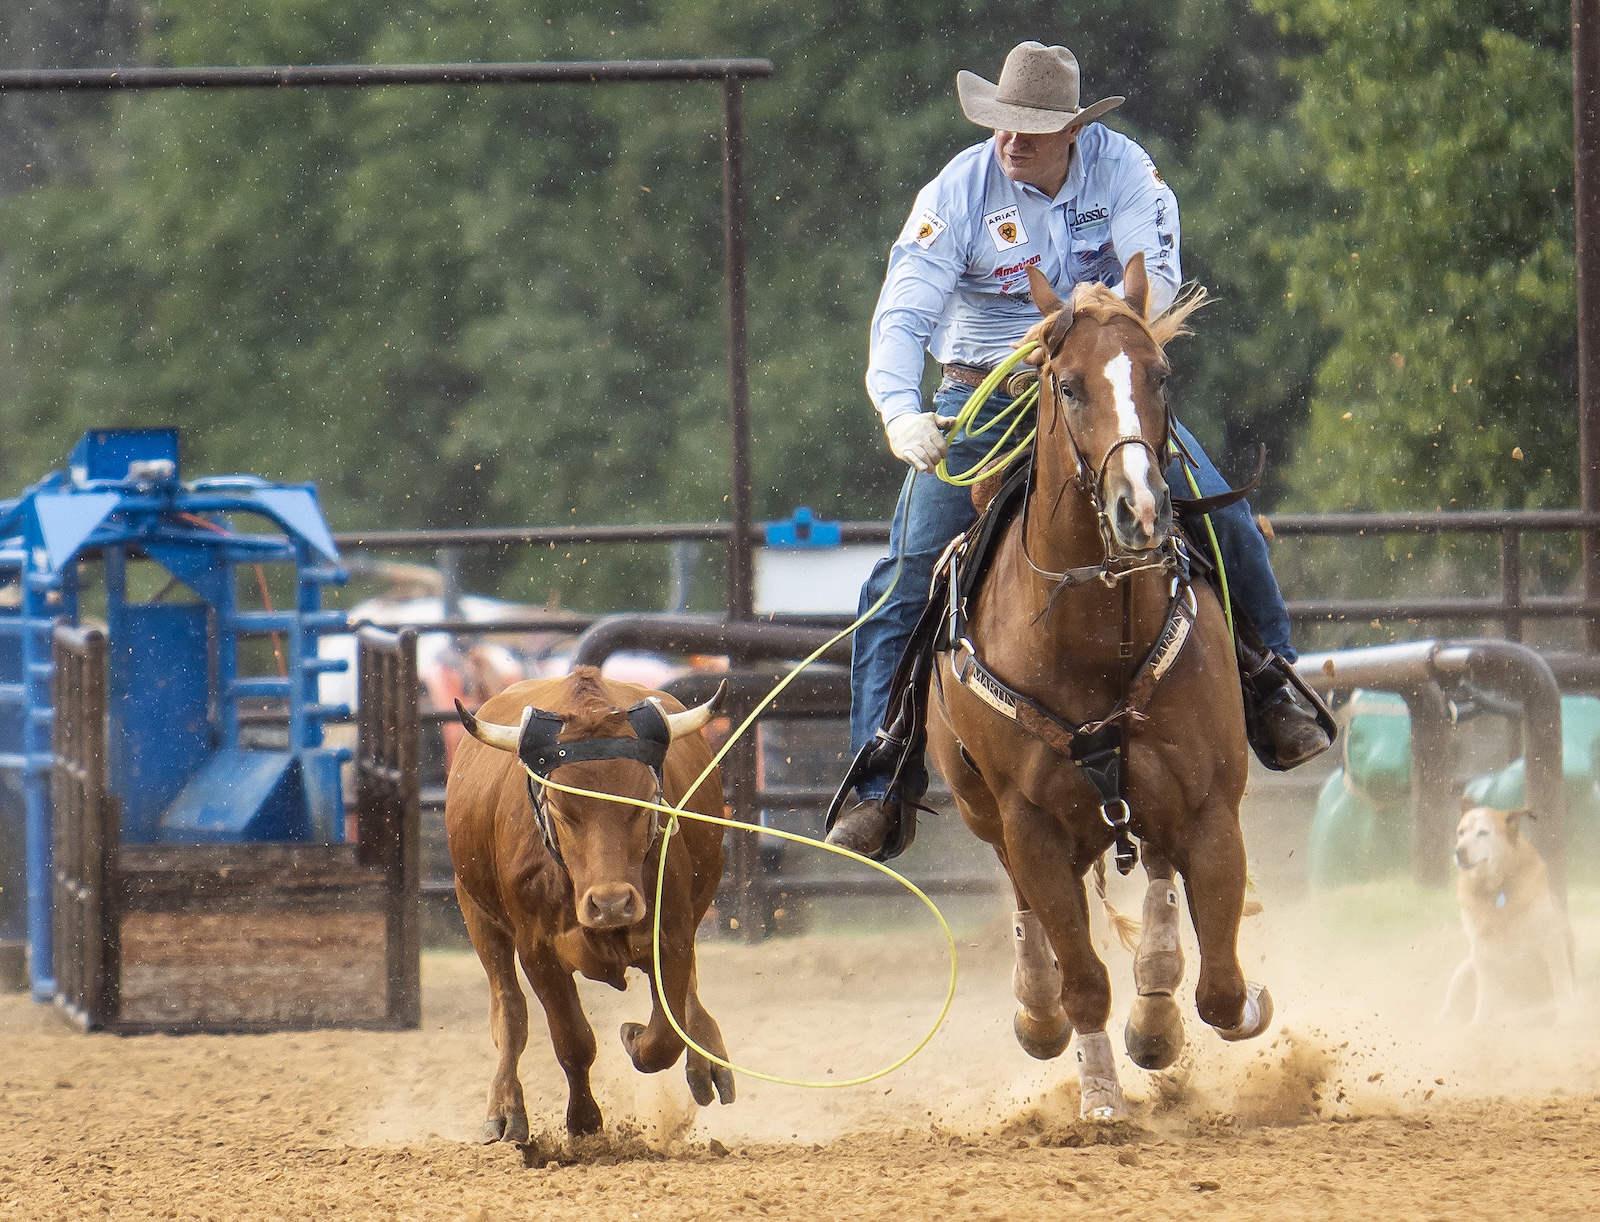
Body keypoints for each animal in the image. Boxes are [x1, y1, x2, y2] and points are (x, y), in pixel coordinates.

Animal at [924, 253, 1273, 1120]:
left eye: (1160, 374)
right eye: (1070, 385)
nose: (1140, 509)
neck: (1086, 639)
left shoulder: (1211, 806)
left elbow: (1222, 990)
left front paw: (1203, 1017)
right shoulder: (1033, 827)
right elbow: (1082, 977)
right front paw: (1101, 1098)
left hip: (1151, 804)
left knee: (1158, 890)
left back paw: (1154, 1014)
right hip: (987, 812)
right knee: (1029, 913)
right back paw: (1038, 1013)